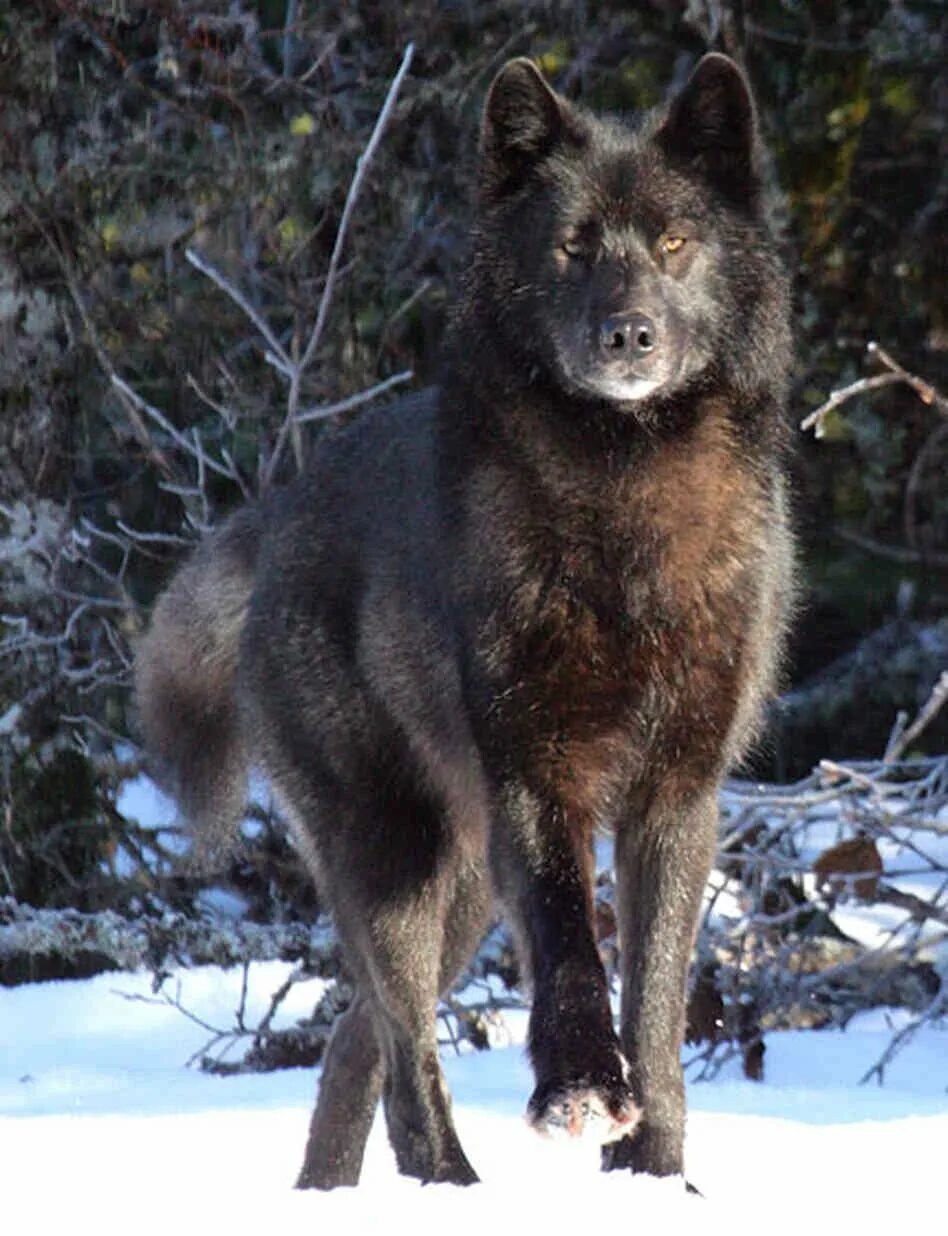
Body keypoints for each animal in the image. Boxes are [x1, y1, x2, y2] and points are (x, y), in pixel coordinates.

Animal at [137, 53, 791, 1191]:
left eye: (674, 243)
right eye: (573, 247)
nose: (629, 334)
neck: (627, 496)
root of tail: (279, 514)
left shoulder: (679, 791)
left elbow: (659, 1005)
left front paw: (655, 1174)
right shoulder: (538, 773)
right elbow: (574, 953)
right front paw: (582, 1092)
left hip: (466, 889)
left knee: (354, 1041)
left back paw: (333, 1197)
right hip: (402, 861)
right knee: (404, 1058)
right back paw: (449, 1187)